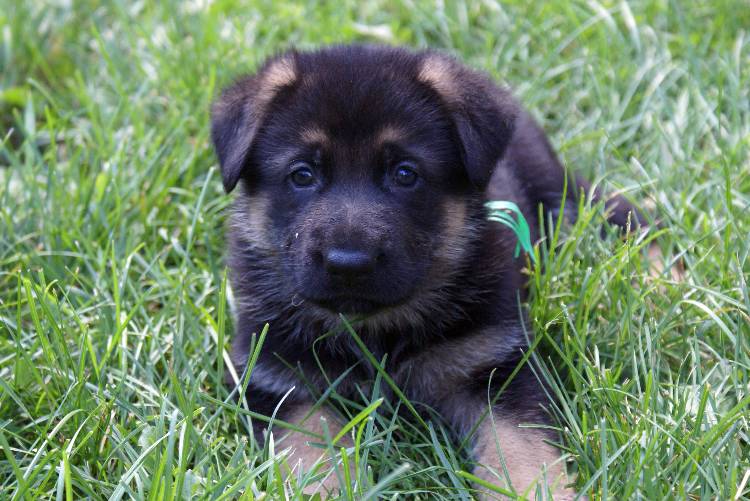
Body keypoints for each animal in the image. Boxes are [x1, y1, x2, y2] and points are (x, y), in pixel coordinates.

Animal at [212, 45, 640, 498]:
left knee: (618, 210)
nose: (349, 263)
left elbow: (520, 452)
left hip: (556, 192)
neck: (377, 332)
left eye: (405, 173)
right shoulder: (282, 382)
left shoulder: (494, 365)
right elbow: (314, 449)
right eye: (302, 175)